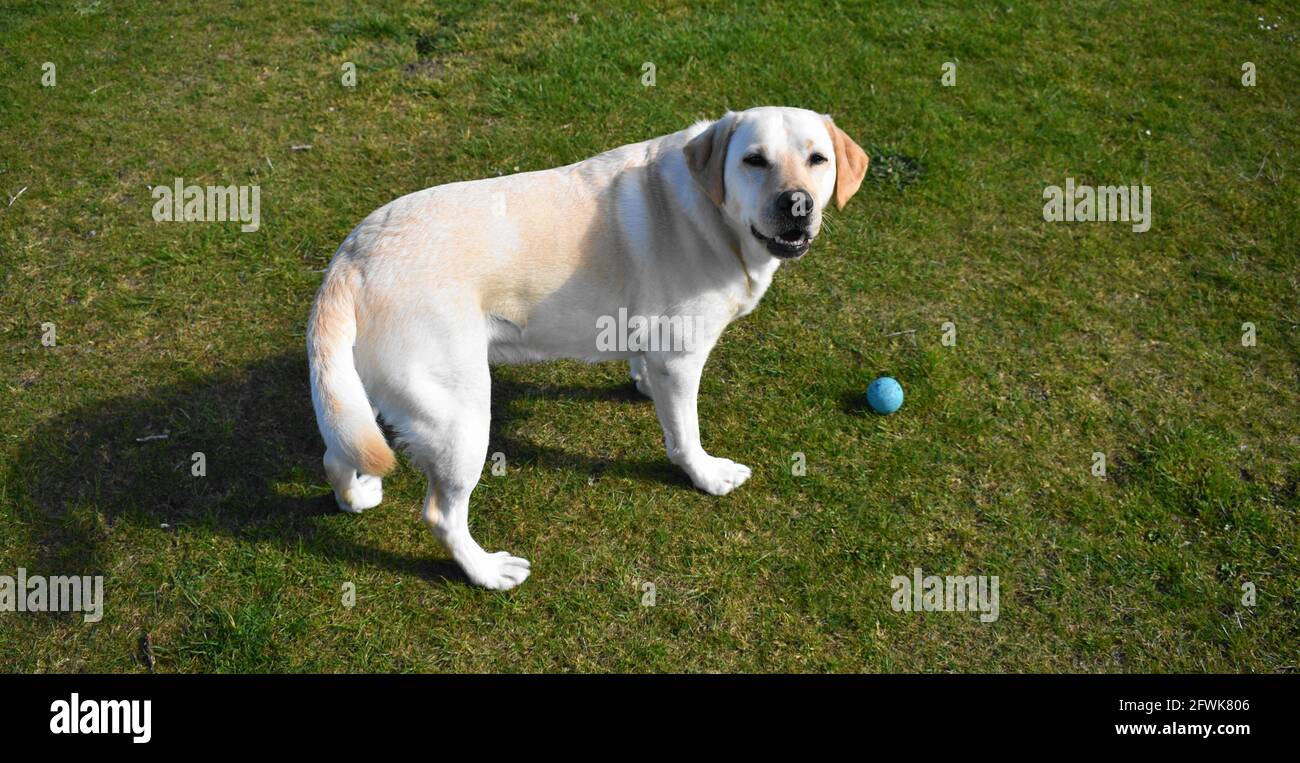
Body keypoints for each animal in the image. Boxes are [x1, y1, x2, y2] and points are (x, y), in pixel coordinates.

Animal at [309, 104, 868, 587]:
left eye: (818, 159)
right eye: (754, 160)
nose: (797, 204)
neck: (710, 217)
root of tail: (350, 260)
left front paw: (643, 386)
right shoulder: (682, 358)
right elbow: (685, 434)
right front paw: (706, 475)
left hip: (360, 395)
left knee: (336, 453)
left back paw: (356, 496)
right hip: (461, 419)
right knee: (441, 515)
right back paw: (487, 572)